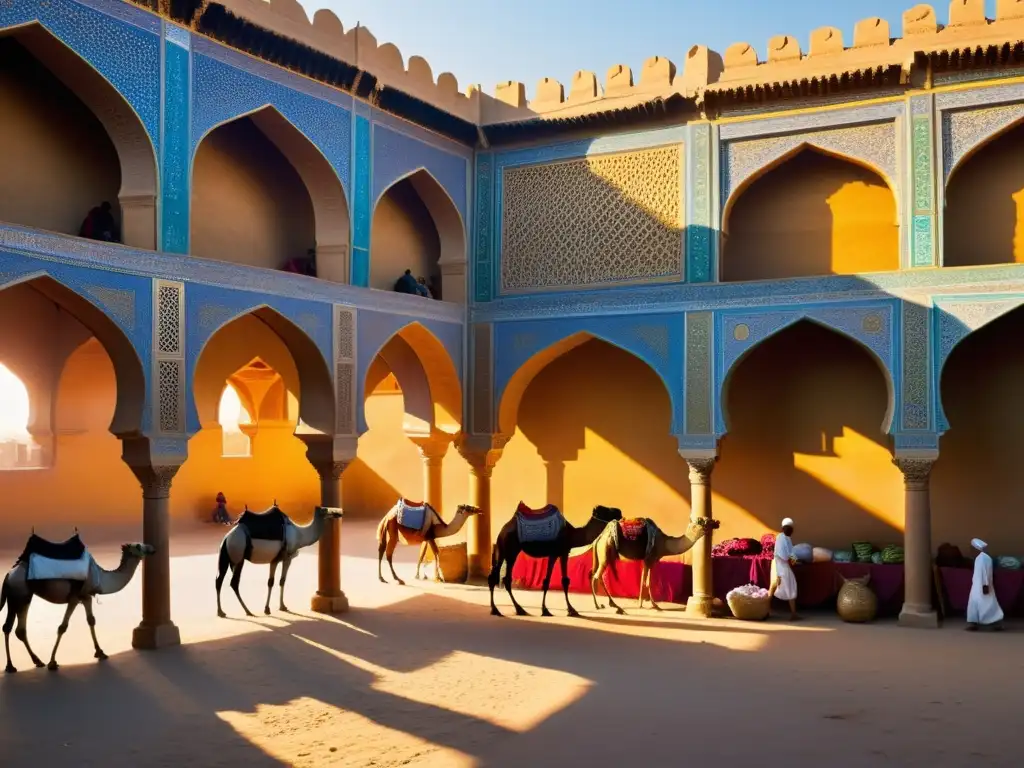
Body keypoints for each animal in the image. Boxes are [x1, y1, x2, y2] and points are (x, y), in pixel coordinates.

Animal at [1, 536, 153, 671]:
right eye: (138, 546)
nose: (152, 548)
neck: (99, 576)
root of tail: (8, 575)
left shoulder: (86, 597)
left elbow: (91, 620)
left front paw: (100, 652)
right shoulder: (74, 597)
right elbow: (62, 627)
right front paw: (52, 662)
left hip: (16, 597)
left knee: (12, 628)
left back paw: (25, 663)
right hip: (21, 594)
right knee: (17, 628)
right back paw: (18, 665)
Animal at [214, 505, 342, 618]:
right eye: (327, 510)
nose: (339, 513)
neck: (299, 535)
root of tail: (226, 538)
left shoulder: (275, 560)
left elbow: (272, 582)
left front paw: (270, 608)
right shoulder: (287, 558)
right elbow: (281, 581)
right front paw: (280, 607)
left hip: (227, 556)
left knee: (219, 580)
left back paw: (221, 612)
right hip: (238, 555)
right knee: (234, 582)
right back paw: (248, 611)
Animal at [487, 505, 622, 618]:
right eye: (605, 510)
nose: (619, 511)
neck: (572, 534)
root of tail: (502, 530)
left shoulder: (560, 553)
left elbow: (557, 581)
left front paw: (556, 609)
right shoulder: (558, 553)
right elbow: (556, 581)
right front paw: (565, 610)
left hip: (505, 551)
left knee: (500, 578)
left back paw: (514, 609)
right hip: (509, 549)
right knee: (500, 578)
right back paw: (500, 609)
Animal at [589, 514, 724, 618]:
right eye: (702, 521)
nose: (717, 522)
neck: (664, 543)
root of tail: (598, 539)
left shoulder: (647, 561)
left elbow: (644, 582)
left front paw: (643, 604)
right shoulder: (650, 559)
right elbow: (647, 583)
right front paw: (653, 606)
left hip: (603, 555)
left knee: (594, 575)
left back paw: (601, 605)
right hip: (605, 552)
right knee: (597, 576)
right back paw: (613, 607)